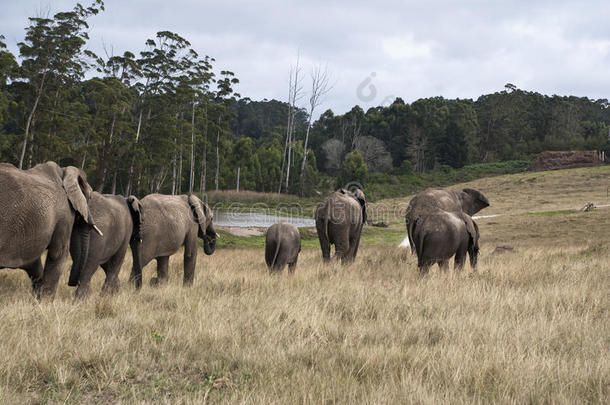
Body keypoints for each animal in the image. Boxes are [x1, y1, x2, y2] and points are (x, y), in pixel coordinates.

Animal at [0, 160, 98, 296]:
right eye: (90, 198)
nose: (71, 283)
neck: (64, 171)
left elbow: (33, 261)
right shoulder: (65, 214)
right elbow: (58, 253)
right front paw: (45, 299)